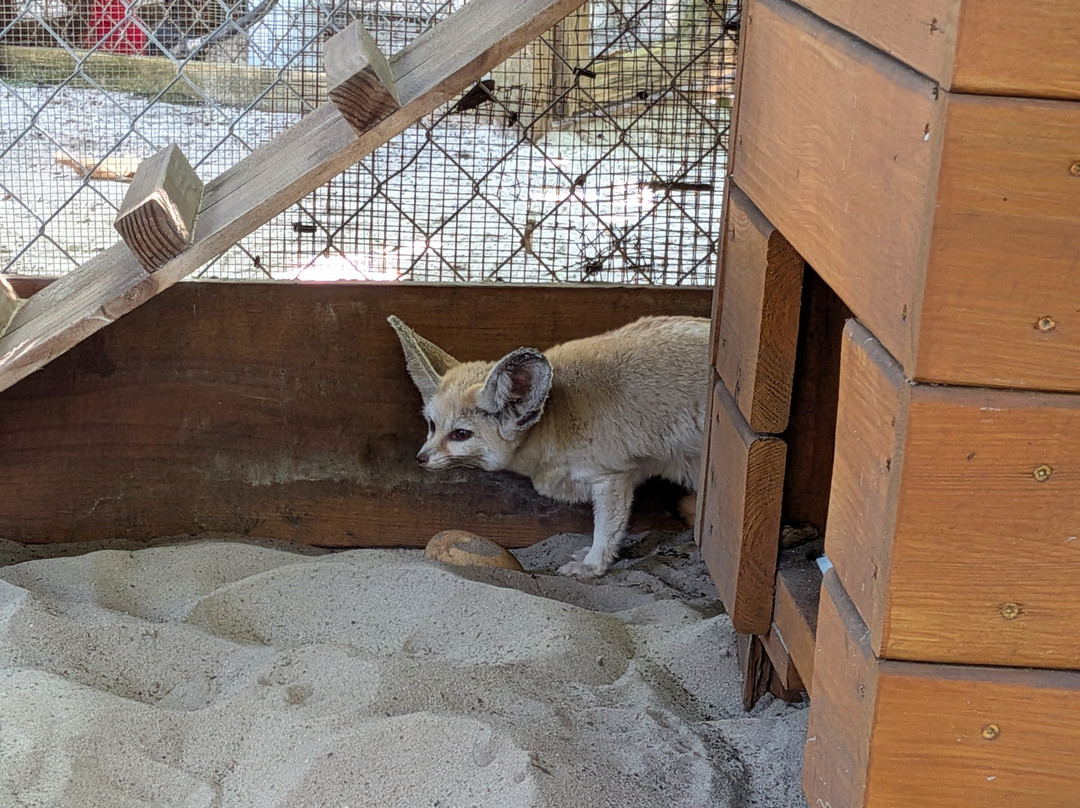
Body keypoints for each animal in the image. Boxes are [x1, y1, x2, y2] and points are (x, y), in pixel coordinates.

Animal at [388, 314, 711, 578]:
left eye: (461, 434)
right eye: (432, 426)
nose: (421, 458)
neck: (553, 416)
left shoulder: (612, 477)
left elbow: (607, 527)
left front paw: (593, 565)